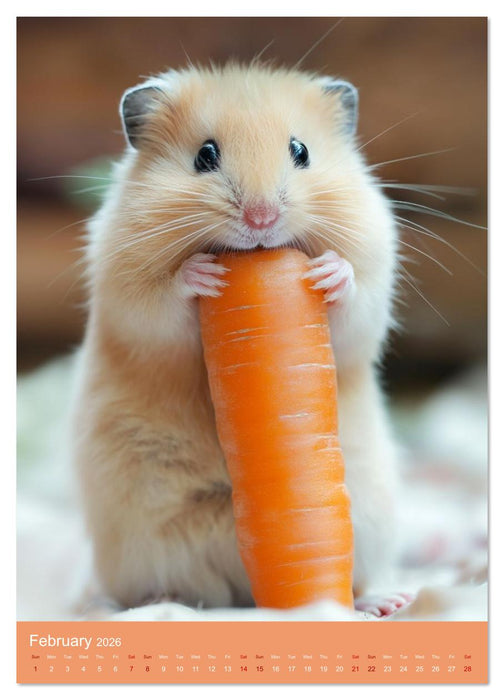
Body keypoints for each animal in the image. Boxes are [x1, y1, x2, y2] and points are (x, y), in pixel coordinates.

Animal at [72, 62, 406, 615]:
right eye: (204, 156)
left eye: (301, 151)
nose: (261, 220)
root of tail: (248, 592)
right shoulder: (129, 296)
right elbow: (164, 302)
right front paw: (203, 274)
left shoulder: (374, 278)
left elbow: (356, 305)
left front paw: (329, 273)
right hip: (147, 545)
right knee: (175, 589)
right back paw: (157, 605)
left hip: (367, 523)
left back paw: (382, 603)